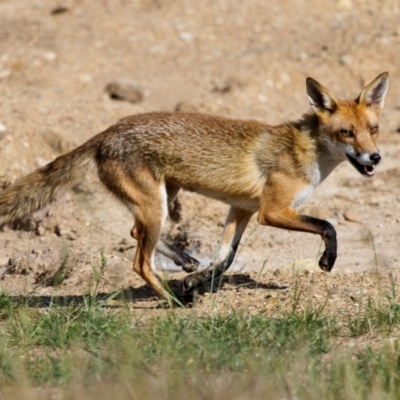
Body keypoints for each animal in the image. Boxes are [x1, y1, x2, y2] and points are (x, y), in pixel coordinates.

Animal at [0, 72, 388, 304]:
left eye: (374, 129)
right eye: (346, 133)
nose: (376, 157)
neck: (304, 153)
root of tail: (107, 132)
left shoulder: (243, 208)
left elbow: (224, 258)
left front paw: (198, 280)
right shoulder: (271, 211)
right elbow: (328, 225)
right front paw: (327, 259)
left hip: (163, 199)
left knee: (135, 234)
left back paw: (184, 265)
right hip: (156, 205)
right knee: (140, 263)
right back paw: (171, 301)